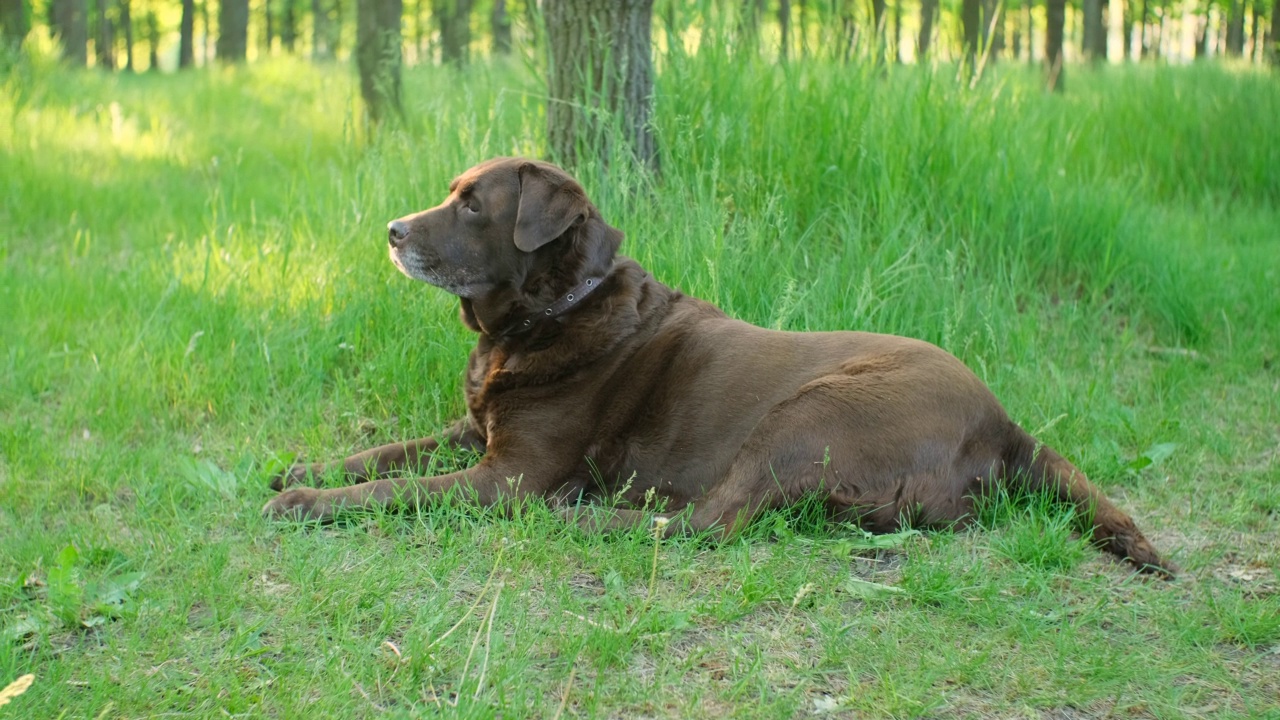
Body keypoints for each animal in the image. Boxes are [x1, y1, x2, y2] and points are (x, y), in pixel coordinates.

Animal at [264, 155, 1172, 571]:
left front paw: (304, 501)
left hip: (808, 413)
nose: (391, 230)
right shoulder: (474, 429)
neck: (554, 310)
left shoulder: (509, 475)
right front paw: (304, 467)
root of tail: (1005, 421)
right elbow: (386, 452)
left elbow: (396, 489)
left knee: (712, 521)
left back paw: (586, 518)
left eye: (473, 205)